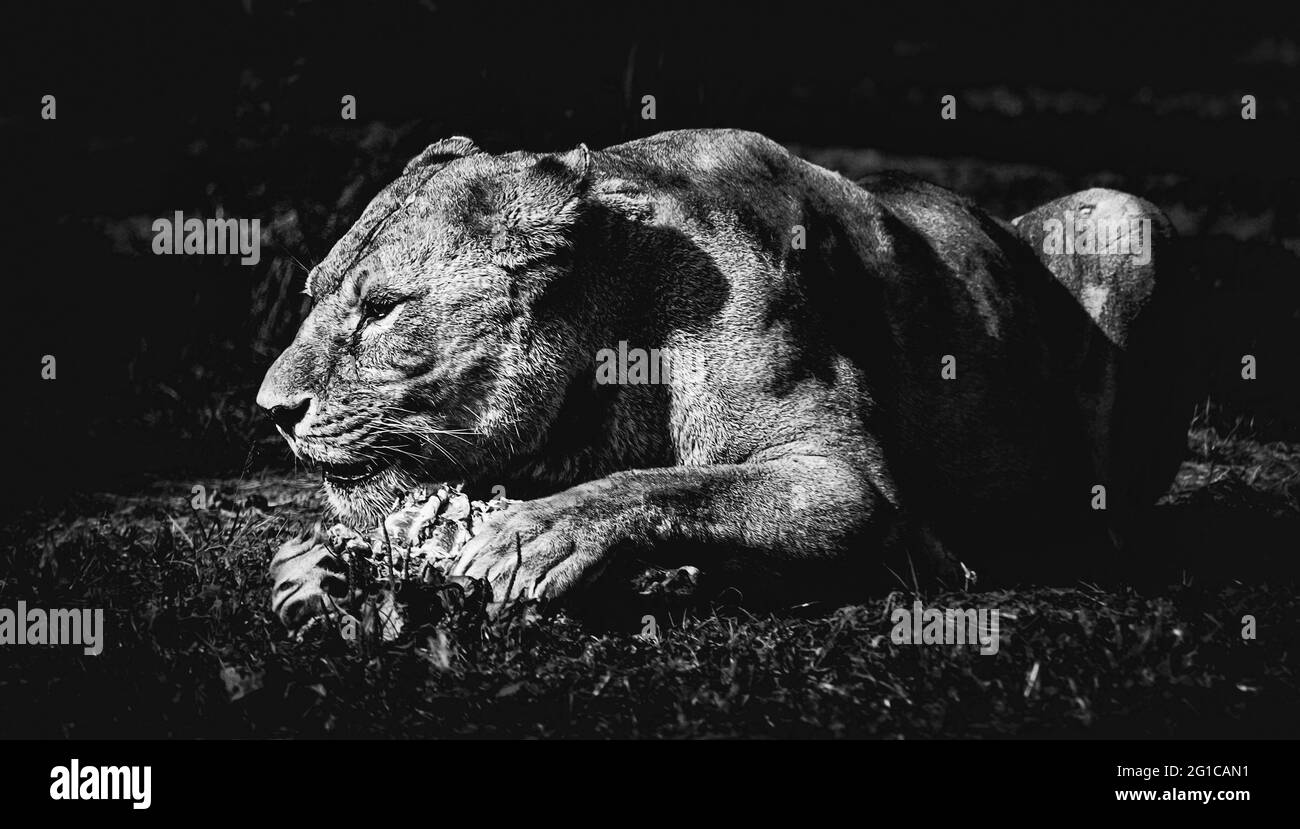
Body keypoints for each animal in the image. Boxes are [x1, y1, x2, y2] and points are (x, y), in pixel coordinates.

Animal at [259, 129, 1186, 628]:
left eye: (381, 309)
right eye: (313, 298)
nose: (272, 408)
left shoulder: (853, 483)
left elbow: (678, 484)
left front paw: (542, 534)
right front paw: (312, 570)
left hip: (1126, 214)